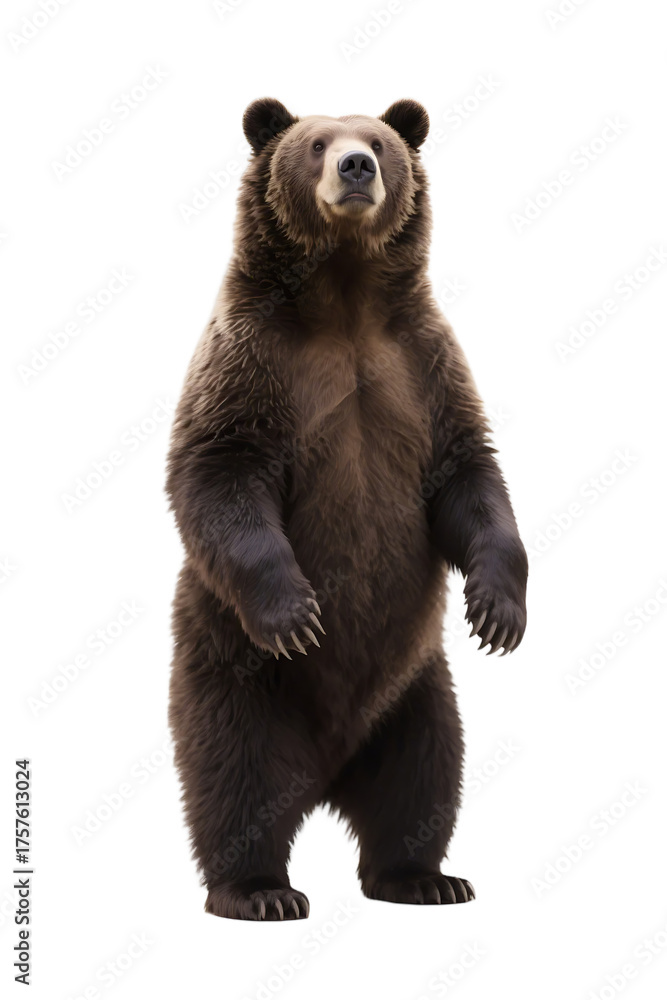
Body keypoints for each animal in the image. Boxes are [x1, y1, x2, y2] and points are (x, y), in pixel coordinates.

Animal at [166, 97, 528, 921]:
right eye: (315, 144)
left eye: (380, 143)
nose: (356, 167)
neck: (345, 294)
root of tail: (328, 769)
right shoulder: (250, 364)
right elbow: (219, 473)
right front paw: (296, 613)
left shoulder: (423, 366)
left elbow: (471, 475)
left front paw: (498, 611)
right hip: (236, 672)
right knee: (234, 776)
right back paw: (258, 889)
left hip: (417, 685)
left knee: (425, 774)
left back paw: (424, 877)